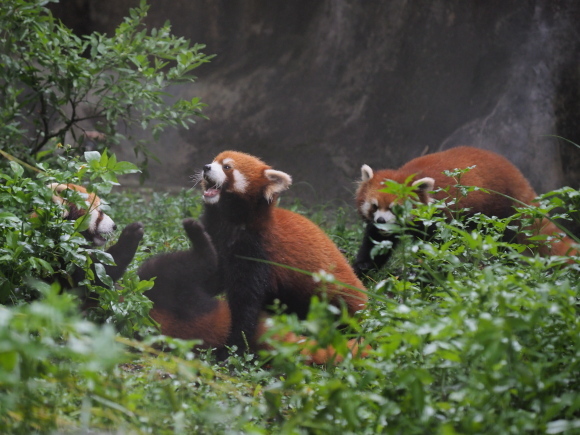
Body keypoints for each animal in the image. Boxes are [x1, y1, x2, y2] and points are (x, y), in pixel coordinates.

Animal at [199, 152, 368, 360]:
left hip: (336, 295)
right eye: (213, 161)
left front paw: (232, 349)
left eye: (227, 167)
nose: (206, 167)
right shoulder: (215, 241)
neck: (229, 224)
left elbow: (245, 304)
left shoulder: (257, 252)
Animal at [354, 146, 576, 276]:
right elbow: (375, 246)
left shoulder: (440, 218)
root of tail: (516, 176)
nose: (382, 221)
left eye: (396, 209)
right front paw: (362, 270)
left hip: (498, 214)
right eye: (375, 206)